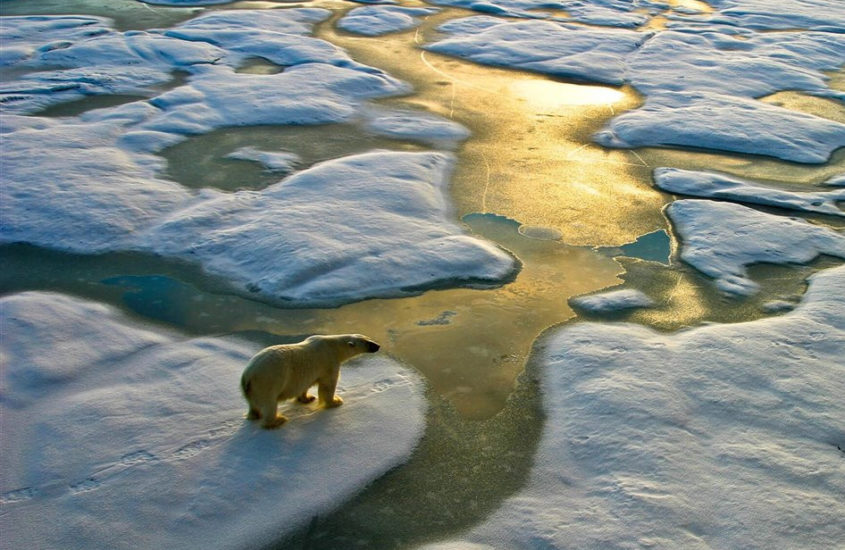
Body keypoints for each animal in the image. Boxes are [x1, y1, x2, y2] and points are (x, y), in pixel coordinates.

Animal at [239, 334, 380, 430]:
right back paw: (278, 420)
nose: (378, 346)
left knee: (253, 404)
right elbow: (328, 385)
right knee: (270, 404)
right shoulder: (328, 362)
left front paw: (308, 398)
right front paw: (335, 401)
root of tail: (247, 375)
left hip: (251, 389)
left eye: (368, 338)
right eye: (367, 342)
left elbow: (304, 386)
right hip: (268, 381)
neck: (333, 346)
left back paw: (254, 415)